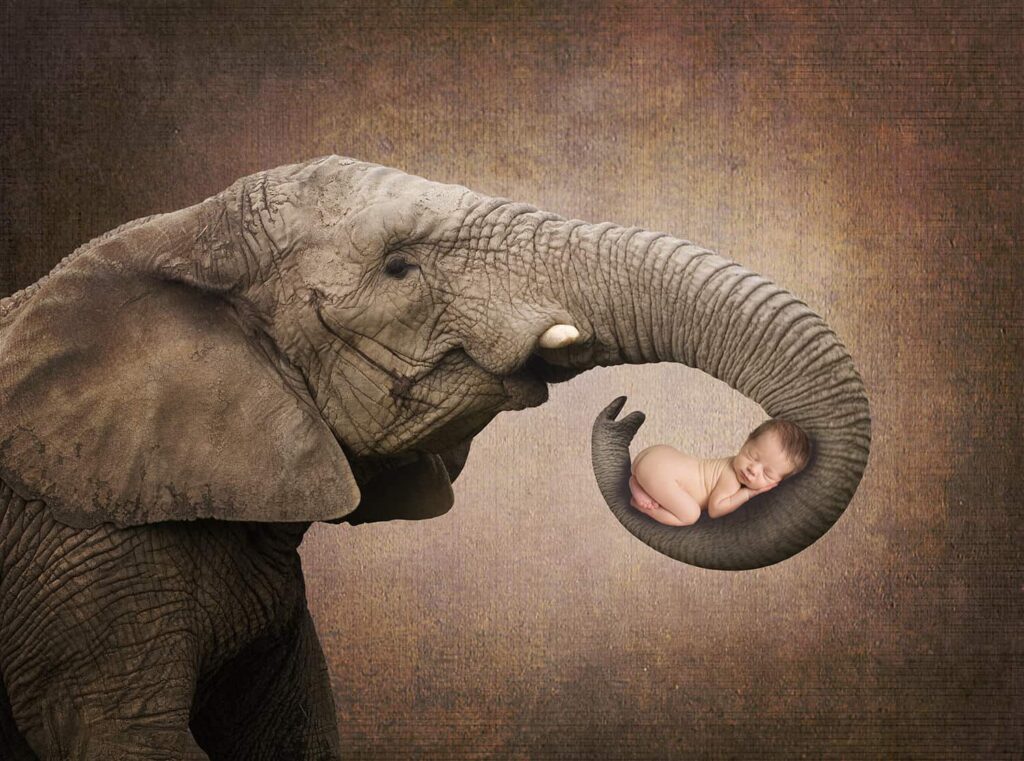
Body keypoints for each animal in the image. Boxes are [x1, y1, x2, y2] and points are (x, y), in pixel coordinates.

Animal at [0, 155, 870, 759]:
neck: (178, 234)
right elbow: (120, 734)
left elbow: (290, 732)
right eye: (398, 268)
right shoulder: (78, 563)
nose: (625, 412)